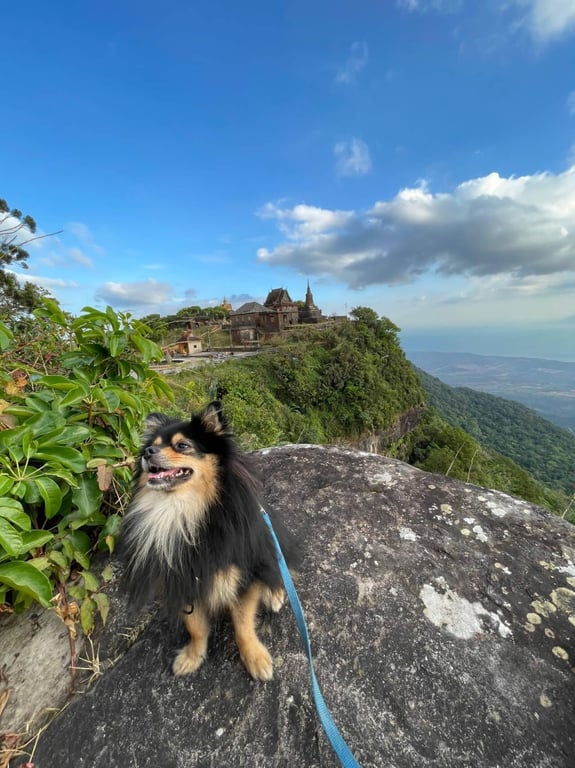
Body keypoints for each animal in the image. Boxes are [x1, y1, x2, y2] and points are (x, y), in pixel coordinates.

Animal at [122, 402, 302, 680]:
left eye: (182, 445)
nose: (149, 452)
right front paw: (192, 657)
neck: (183, 511)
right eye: (153, 445)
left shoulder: (242, 574)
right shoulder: (185, 578)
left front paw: (255, 658)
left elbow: (242, 624)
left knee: (278, 570)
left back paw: (274, 594)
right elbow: (195, 626)